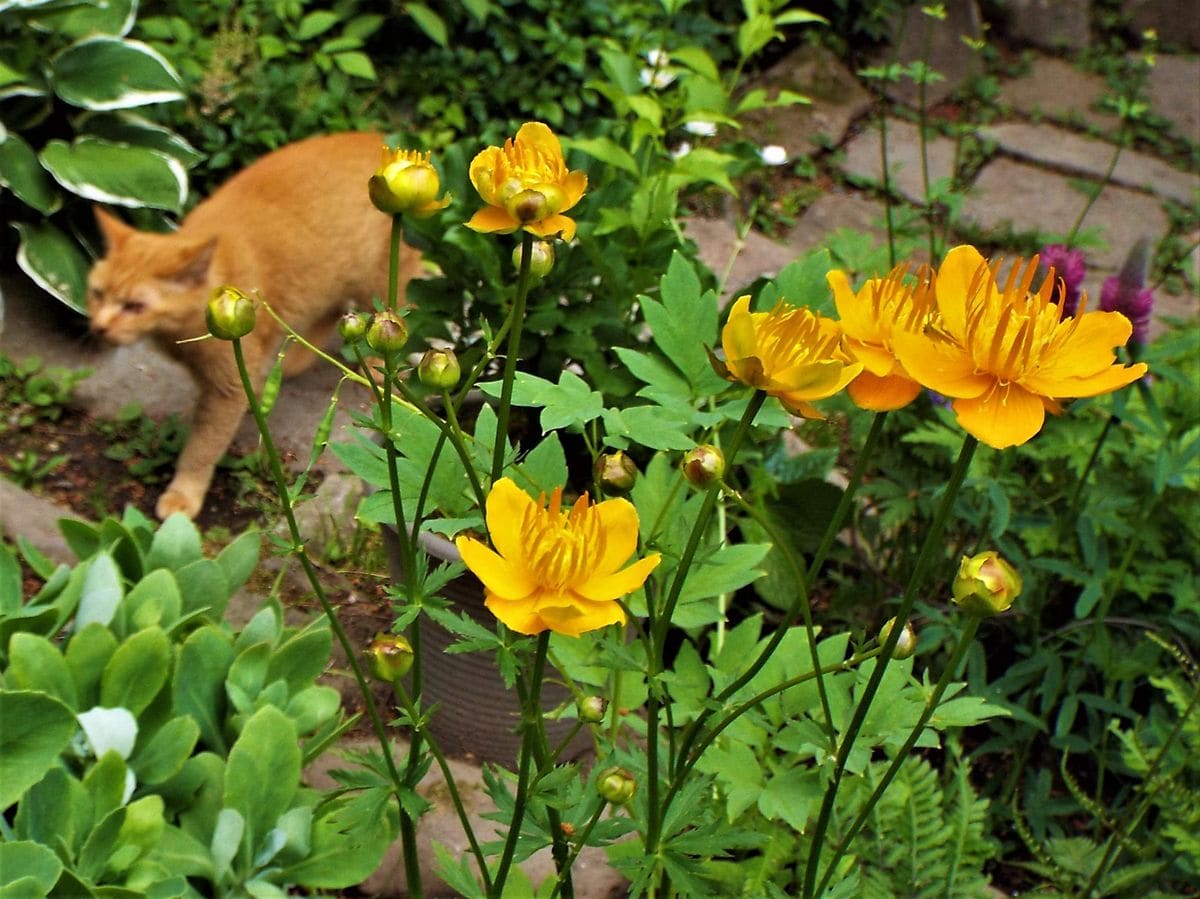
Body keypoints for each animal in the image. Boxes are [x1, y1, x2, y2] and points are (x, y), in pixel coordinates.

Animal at [83, 134, 412, 523]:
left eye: (135, 306)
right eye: (97, 293)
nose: (99, 327)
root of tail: (373, 137)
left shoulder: (228, 388)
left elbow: (203, 446)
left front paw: (184, 492)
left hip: (374, 278)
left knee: (393, 315)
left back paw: (375, 371)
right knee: (330, 312)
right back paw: (297, 359)